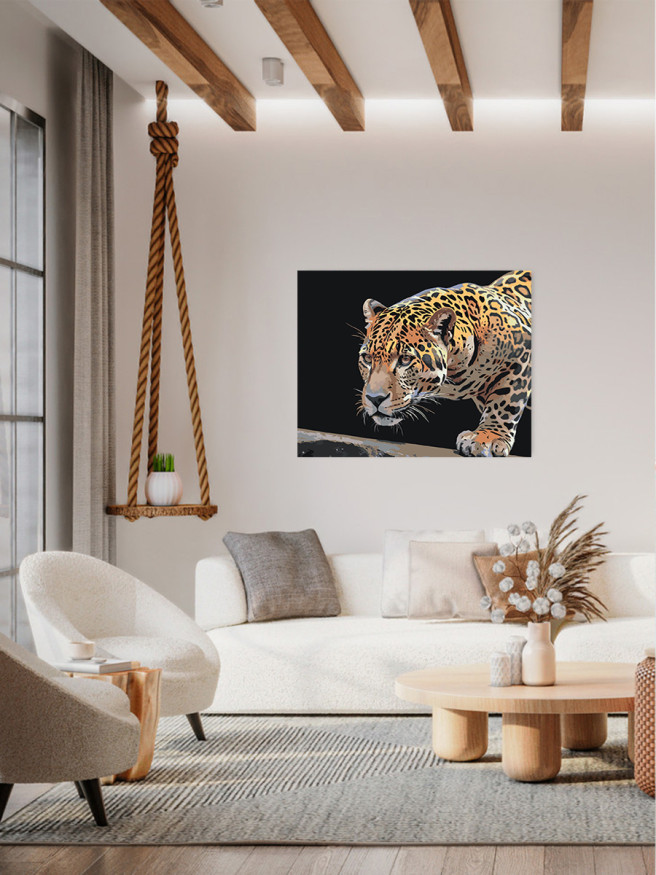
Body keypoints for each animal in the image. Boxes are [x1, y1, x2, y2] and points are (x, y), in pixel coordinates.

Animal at [357, 270, 531, 457]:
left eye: (405, 359)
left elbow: (505, 402)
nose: (374, 399)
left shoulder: (521, 355)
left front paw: (488, 436)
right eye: (367, 358)